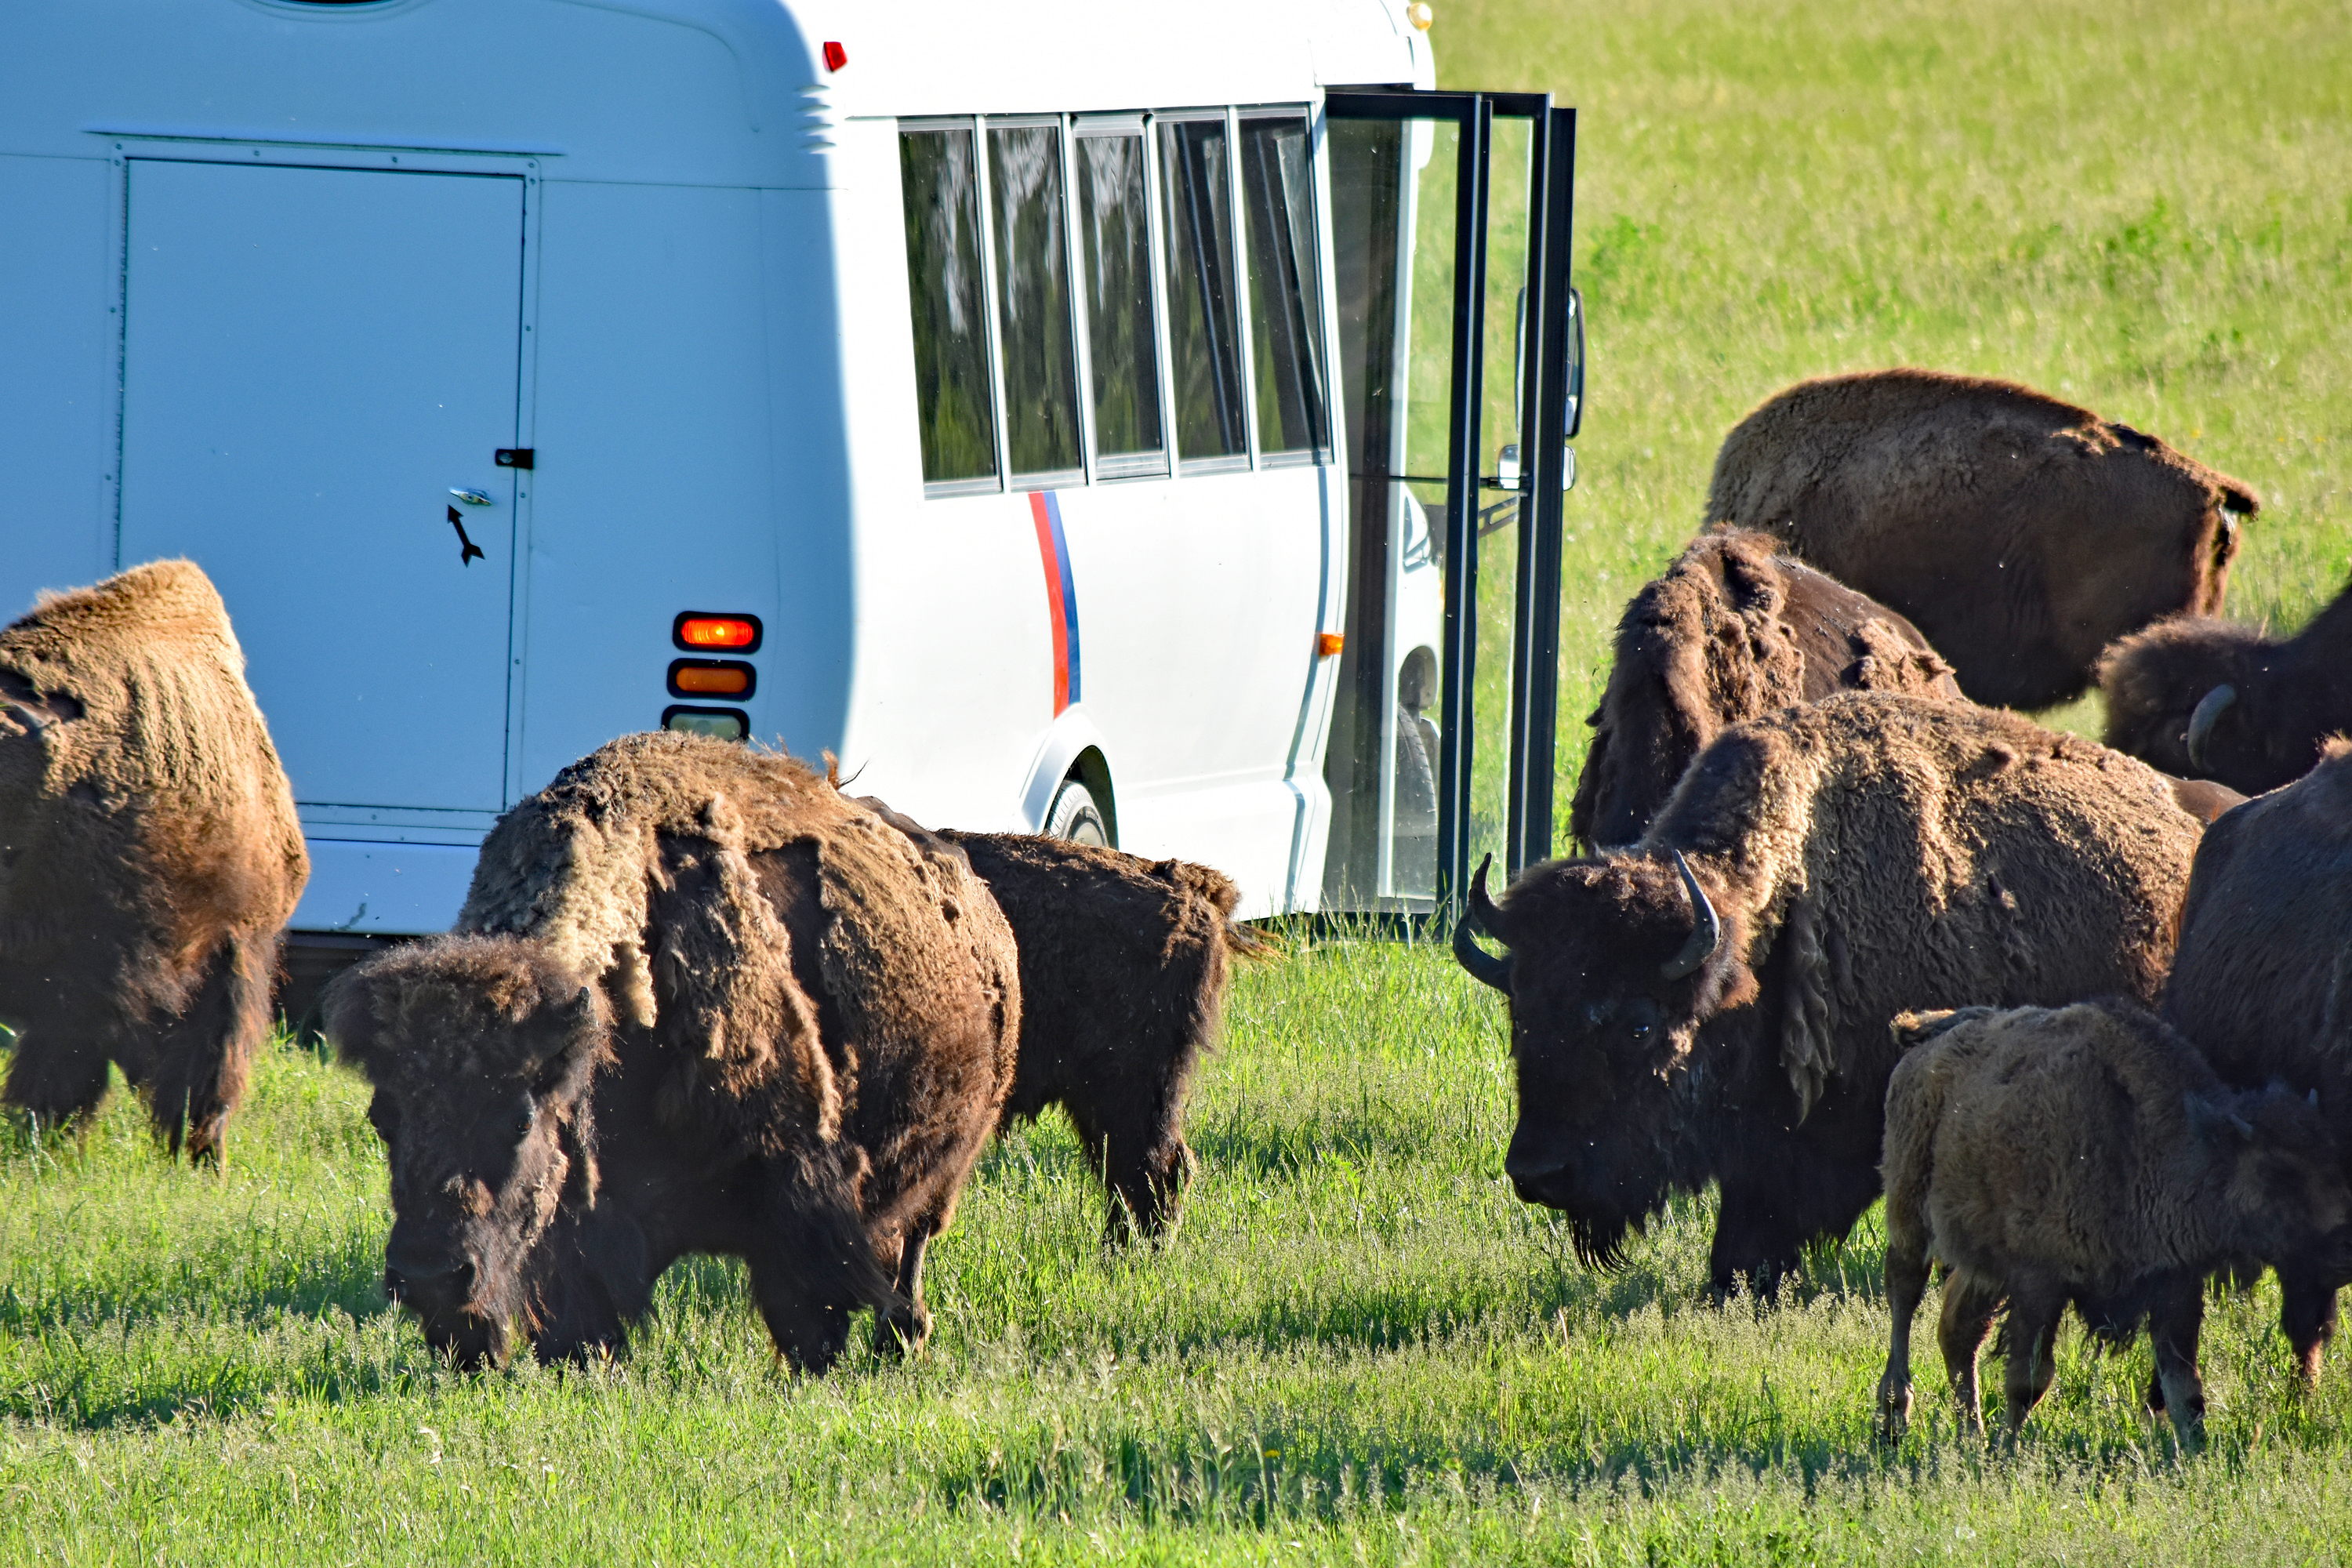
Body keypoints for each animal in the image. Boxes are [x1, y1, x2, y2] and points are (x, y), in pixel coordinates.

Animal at [329, 732, 1018, 1371]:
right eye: (383, 1119)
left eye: (521, 1119)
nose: (429, 1277)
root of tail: (979, 901)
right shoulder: (582, 1234)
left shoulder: (798, 1199)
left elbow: (808, 1315)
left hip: (945, 1173)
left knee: (909, 1245)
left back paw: (903, 1339)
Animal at [1876, 1001, 2349, 1451]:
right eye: (2279, 1173)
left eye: (2331, 1154)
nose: (2344, 1248)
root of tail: (1927, 1035)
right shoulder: (2039, 1283)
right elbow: (2027, 1381)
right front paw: (2008, 1451)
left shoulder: (2174, 1286)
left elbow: (2185, 1390)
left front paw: (2196, 1456)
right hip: (1909, 1215)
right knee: (1905, 1293)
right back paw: (1896, 1416)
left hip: (1981, 1262)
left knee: (1959, 1331)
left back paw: (1969, 1434)